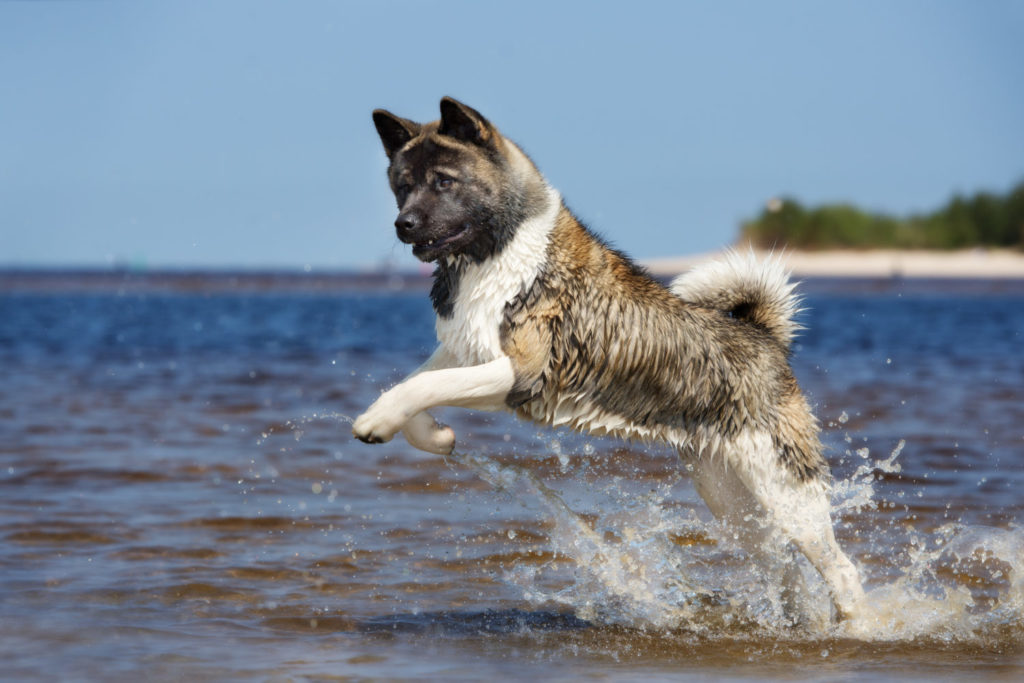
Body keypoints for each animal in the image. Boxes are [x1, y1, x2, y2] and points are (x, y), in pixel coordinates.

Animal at [352, 97, 864, 626]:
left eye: (444, 181)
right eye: (402, 184)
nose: (403, 224)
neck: (498, 254)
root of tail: (764, 336)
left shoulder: (524, 371)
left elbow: (422, 387)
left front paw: (376, 423)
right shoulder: (460, 350)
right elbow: (413, 385)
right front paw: (435, 436)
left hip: (786, 489)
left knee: (840, 571)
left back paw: (858, 627)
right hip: (729, 495)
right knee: (784, 568)